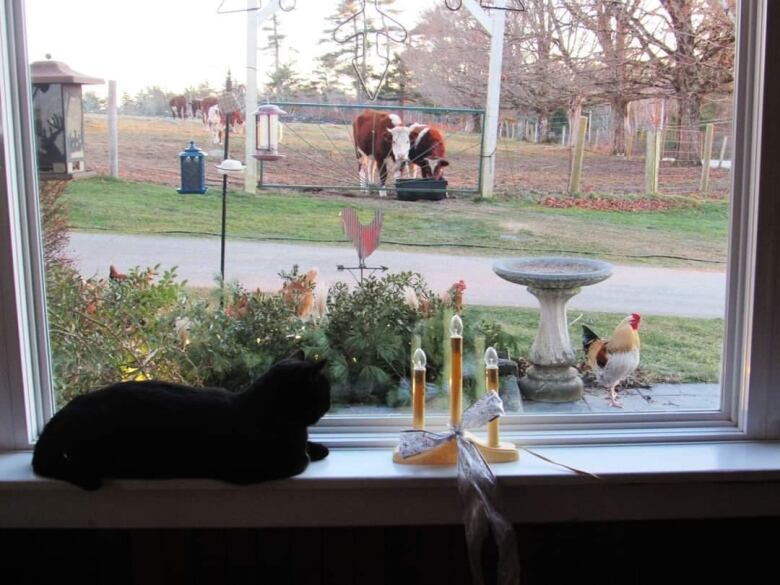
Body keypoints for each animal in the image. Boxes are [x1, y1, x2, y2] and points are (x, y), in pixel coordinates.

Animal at [32, 352, 330, 488]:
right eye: (325, 391)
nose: (328, 405)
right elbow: (300, 460)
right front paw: (310, 451)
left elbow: (313, 448)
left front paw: (318, 447)